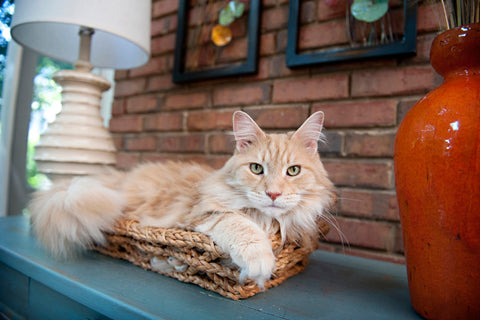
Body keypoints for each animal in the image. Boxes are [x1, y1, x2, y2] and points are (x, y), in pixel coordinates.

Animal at [29, 110, 334, 288]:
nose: (273, 193)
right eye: (257, 168)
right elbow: (242, 227)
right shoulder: (203, 215)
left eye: (293, 171)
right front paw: (258, 267)